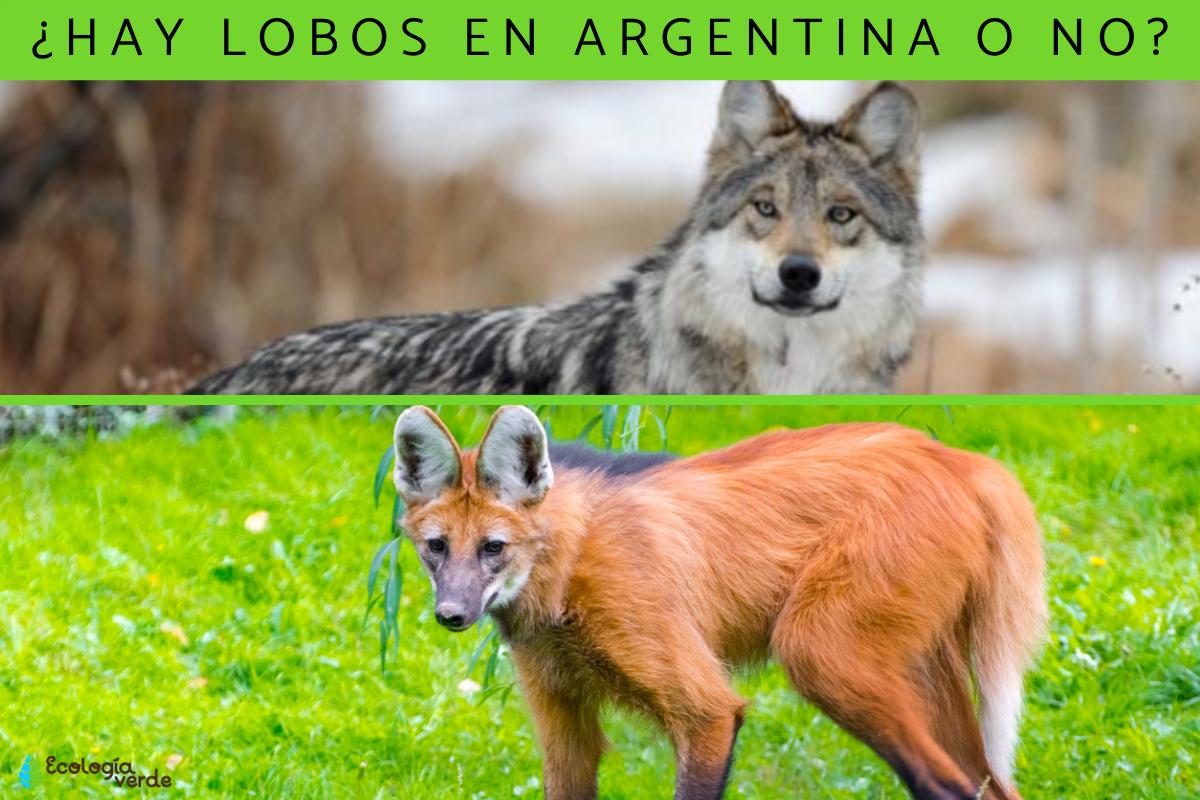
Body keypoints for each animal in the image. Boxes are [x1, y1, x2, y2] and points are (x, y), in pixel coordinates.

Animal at [391, 405, 1046, 800]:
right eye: (436, 548)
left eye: (493, 548)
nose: (452, 615)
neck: (569, 568)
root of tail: (964, 462)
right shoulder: (562, 714)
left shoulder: (707, 712)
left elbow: (708, 717)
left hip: (821, 652)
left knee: (949, 785)